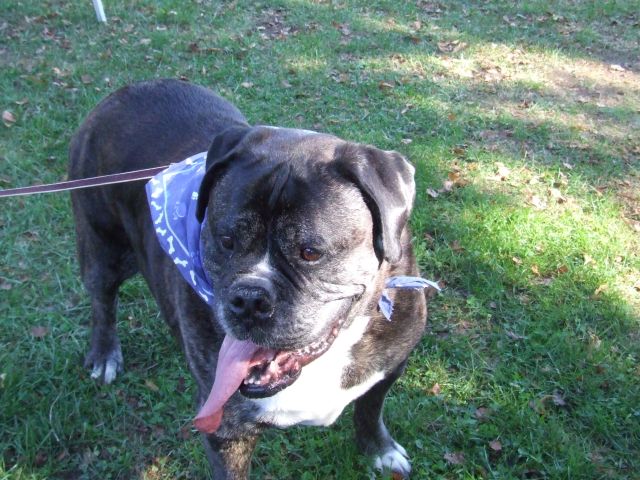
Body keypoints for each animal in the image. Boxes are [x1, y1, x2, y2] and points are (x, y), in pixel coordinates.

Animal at [68, 79, 427, 479]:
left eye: (310, 252)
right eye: (226, 241)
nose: (249, 299)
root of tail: (126, 90)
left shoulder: (391, 365)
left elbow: (371, 406)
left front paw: (379, 448)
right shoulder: (225, 429)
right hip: (102, 248)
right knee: (103, 300)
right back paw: (104, 353)